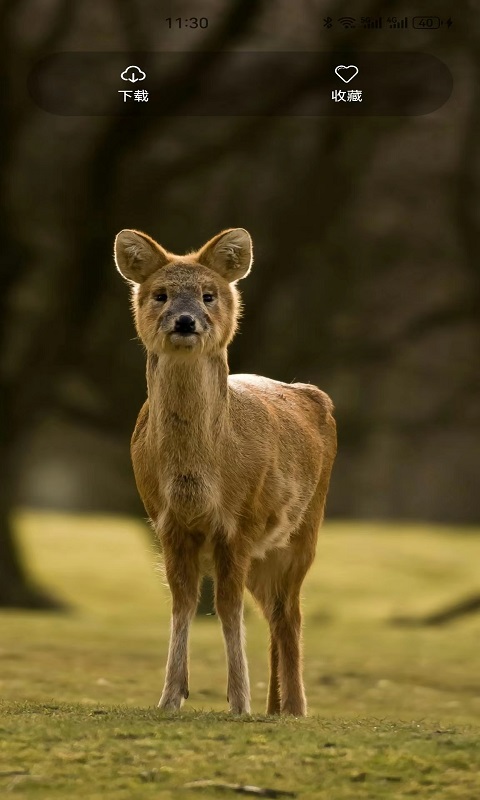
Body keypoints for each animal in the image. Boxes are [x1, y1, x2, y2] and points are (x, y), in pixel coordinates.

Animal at [114, 227, 336, 720]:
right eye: (160, 294)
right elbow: (183, 602)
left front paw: (238, 702)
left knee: (289, 612)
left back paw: (294, 707)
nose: (184, 322)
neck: (198, 478)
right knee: (274, 612)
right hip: (265, 552)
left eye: (208, 294)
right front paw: (171, 696)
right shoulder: (166, 521)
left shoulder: (238, 520)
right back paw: (277, 706)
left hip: (304, 528)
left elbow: (227, 607)